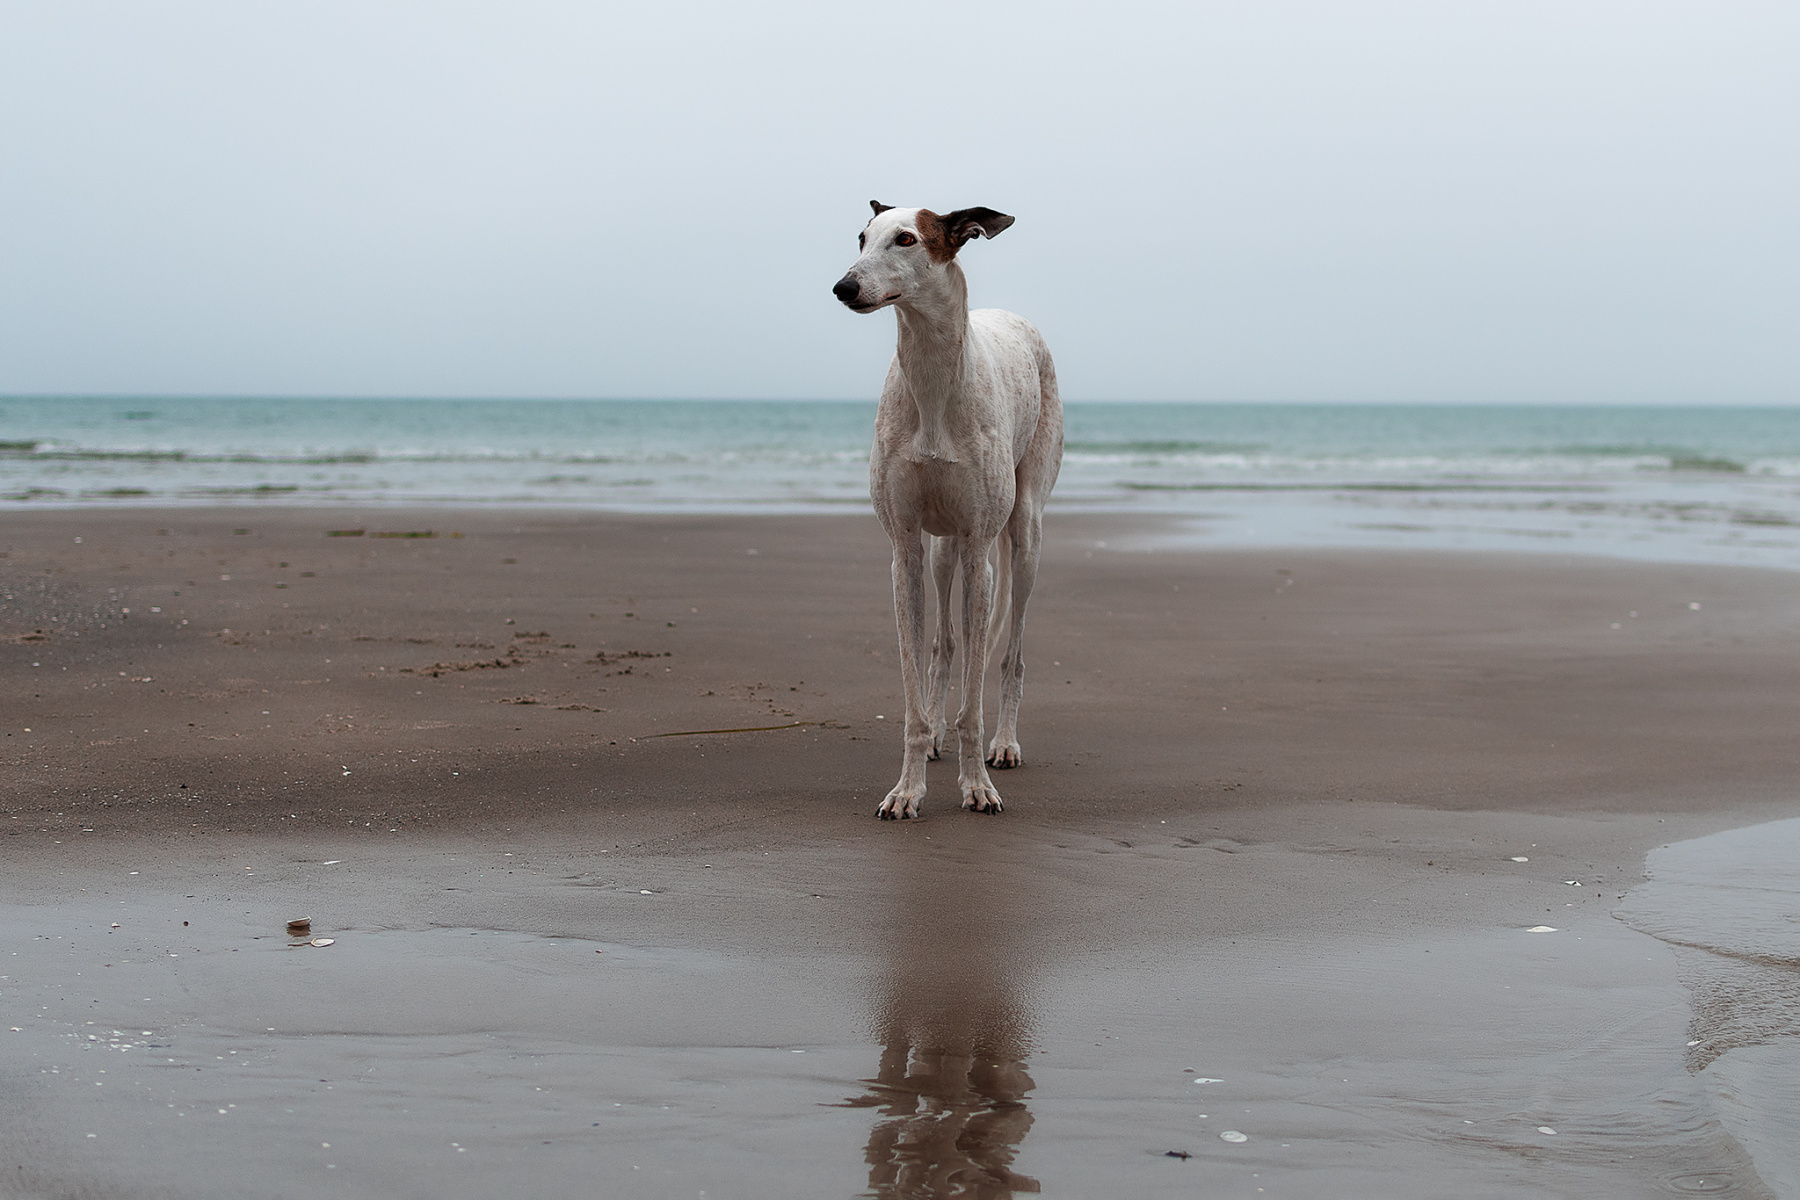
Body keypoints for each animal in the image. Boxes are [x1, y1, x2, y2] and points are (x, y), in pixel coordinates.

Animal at [833, 201, 1063, 819]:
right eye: (861, 237)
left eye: (907, 239)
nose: (844, 287)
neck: (934, 379)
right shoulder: (906, 550)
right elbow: (918, 682)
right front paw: (908, 788)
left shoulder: (981, 549)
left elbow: (976, 699)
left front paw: (977, 785)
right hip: (942, 551)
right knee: (943, 645)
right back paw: (940, 730)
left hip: (1023, 539)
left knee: (1012, 655)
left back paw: (1004, 743)